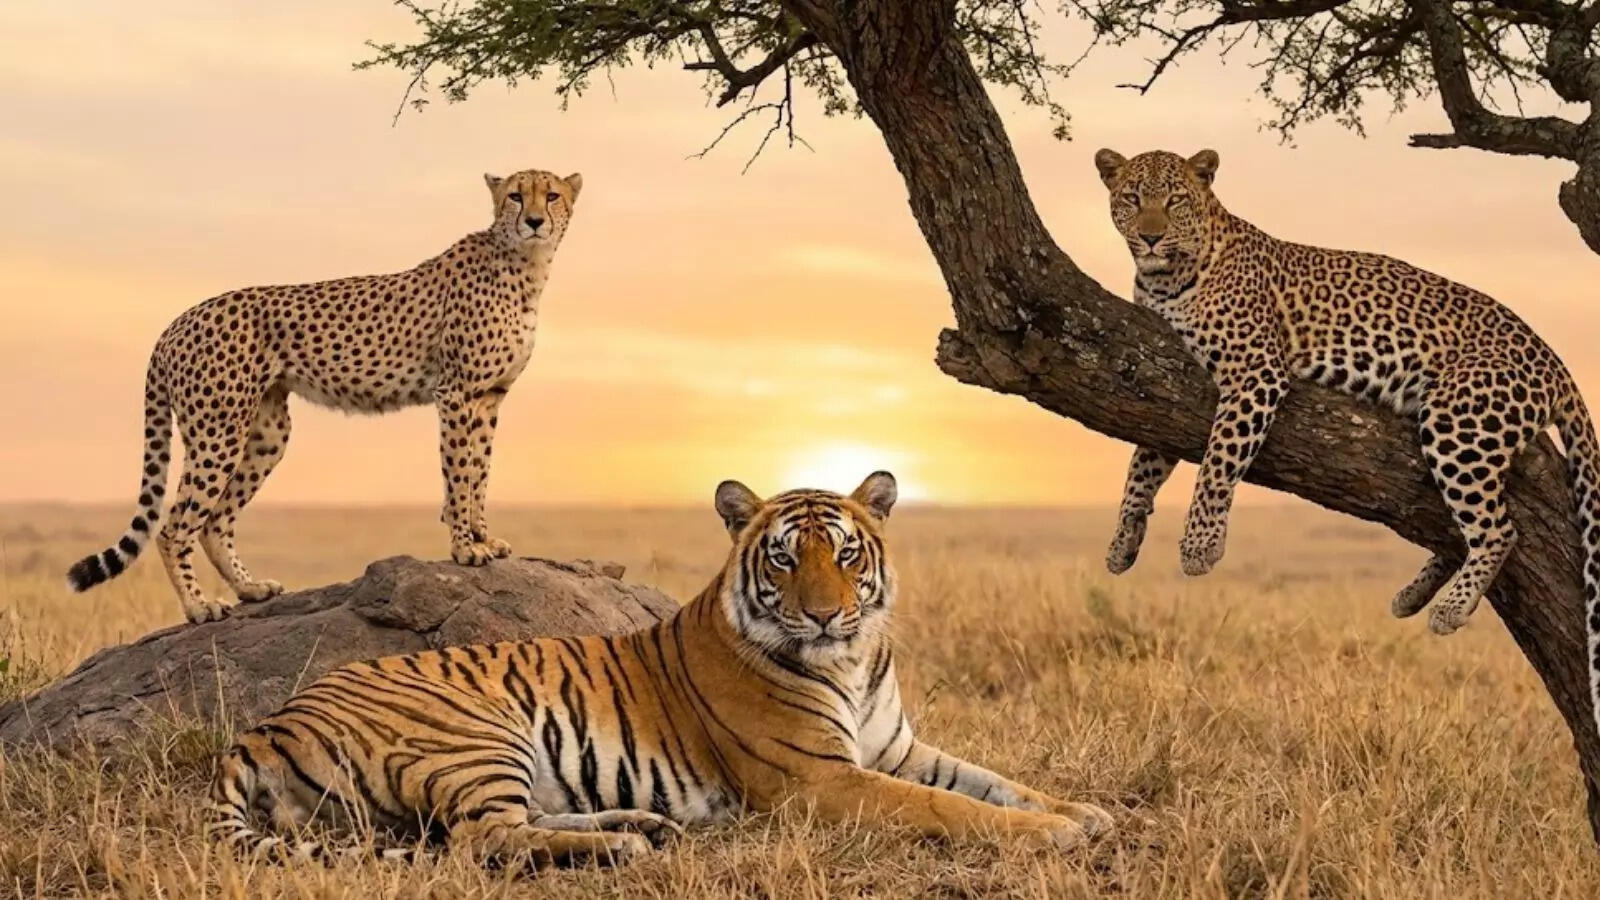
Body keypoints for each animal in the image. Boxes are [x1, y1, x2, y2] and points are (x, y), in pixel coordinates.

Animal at [66, 168, 583, 624]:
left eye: (551, 195)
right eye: (516, 195)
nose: (534, 220)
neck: (525, 266)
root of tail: (176, 322)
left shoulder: (489, 396)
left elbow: (480, 472)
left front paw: (483, 538)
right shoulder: (456, 392)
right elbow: (458, 475)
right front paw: (463, 547)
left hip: (266, 433)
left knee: (215, 521)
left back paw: (250, 588)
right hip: (218, 431)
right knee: (175, 527)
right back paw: (199, 608)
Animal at [1093, 148, 1600, 736]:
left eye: (1174, 200)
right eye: (1132, 199)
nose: (1150, 237)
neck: (1166, 280)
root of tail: (1553, 358)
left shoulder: (1254, 372)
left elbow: (1218, 460)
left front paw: (1199, 546)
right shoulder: (1160, 373)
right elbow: (1143, 463)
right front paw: (1124, 540)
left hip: (1458, 421)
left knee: (1500, 529)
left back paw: (1449, 610)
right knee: (1462, 527)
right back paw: (1411, 597)